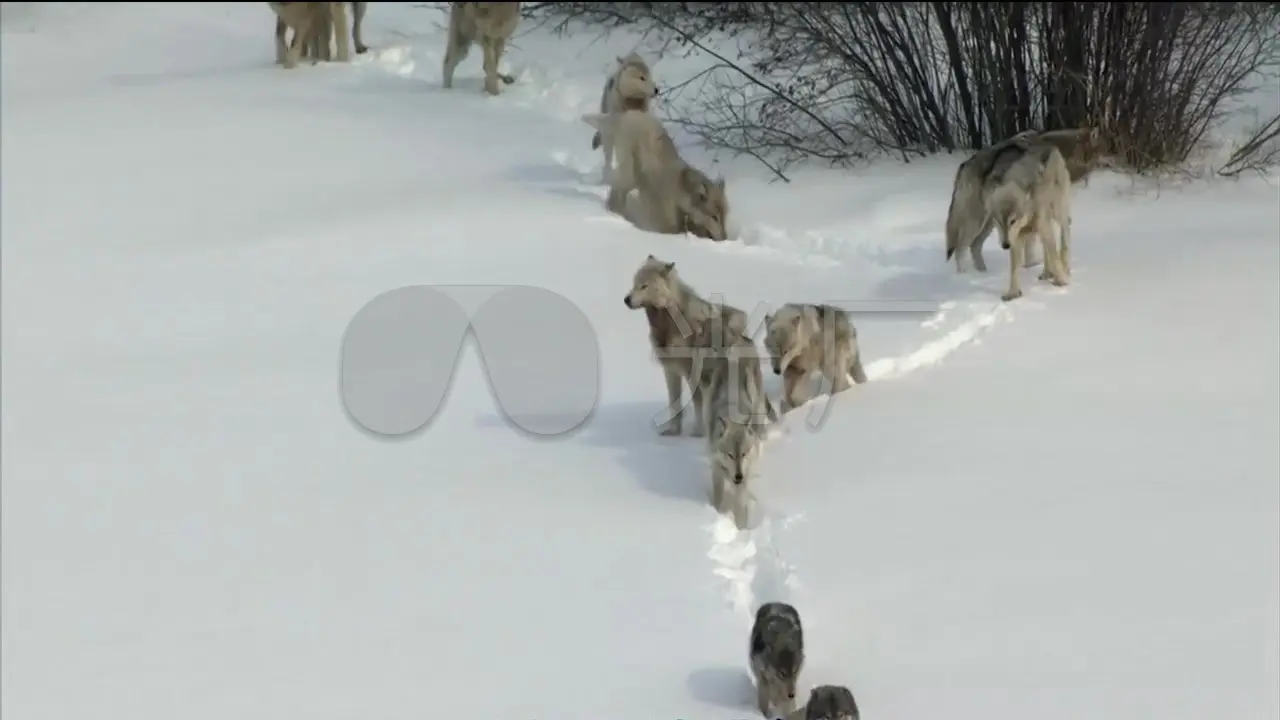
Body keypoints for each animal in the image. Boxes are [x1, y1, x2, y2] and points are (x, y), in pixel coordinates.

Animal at [581, 107, 732, 239]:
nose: (725, 238)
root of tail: (631, 113)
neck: (680, 193)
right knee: (617, 194)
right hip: (629, 176)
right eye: (714, 217)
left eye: (724, 217)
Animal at [622, 256, 747, 438]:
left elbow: (697, 401)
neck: (669, 324)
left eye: (644, 286)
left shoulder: (691, 372)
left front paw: (698, 431)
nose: (626, 299)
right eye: (634, 283)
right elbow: (674, 403)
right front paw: (673, 430)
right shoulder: (670, 370)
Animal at [942, 127, 1100, 272]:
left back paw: (983, 273)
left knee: (974, 246)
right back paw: (964, 276)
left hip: (990, 224)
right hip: (977, 222)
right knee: (960, 249)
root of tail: (964, 166)